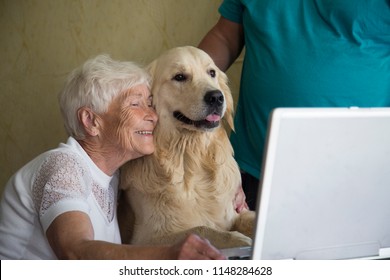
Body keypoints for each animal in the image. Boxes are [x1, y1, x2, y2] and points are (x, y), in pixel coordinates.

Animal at [119, 46, 256, 249]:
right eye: (180, 77)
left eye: (212, 73)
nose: (216, 97)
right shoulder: (144, 240)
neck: (190, 157)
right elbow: (201, 228)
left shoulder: (234, 214)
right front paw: (237, 239)